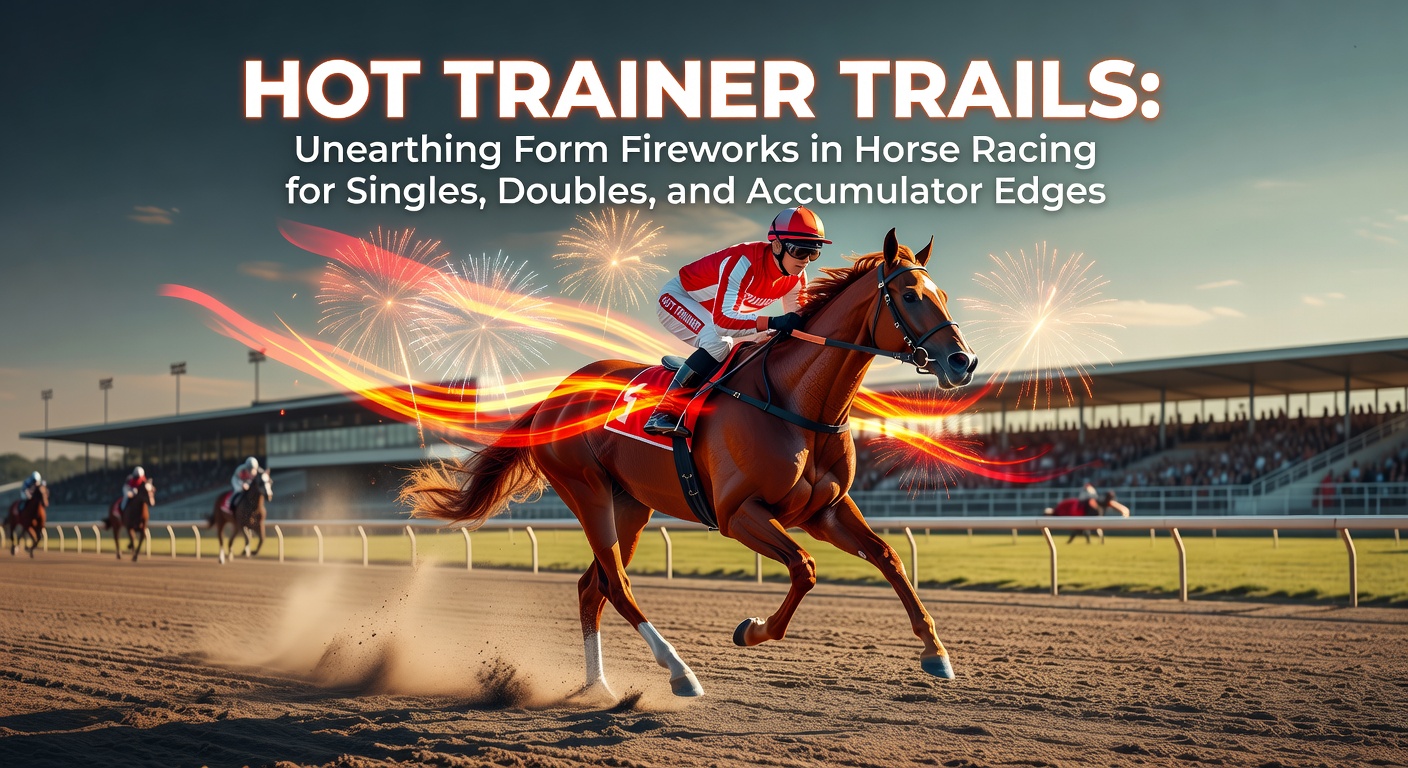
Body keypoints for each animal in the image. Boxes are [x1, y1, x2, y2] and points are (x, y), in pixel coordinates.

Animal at [403, 230, 977, 698]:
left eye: (944, 296)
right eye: (909, 296)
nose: (962, 362)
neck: (795, 402)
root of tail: (552, 396)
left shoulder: (825, 511)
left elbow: (888, 556)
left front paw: (936, 652)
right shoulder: (737, 513)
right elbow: (804, 568)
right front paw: (751, 630)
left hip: (630, 505)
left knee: (592, 588)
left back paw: (598, 687)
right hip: (586, 491)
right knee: (616, 585)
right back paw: (680, 673)